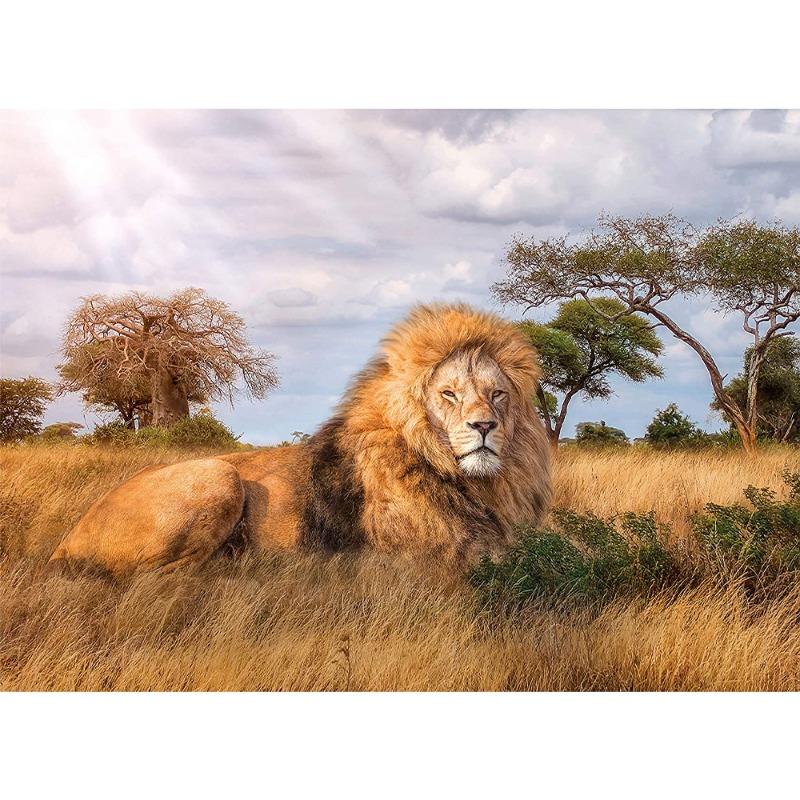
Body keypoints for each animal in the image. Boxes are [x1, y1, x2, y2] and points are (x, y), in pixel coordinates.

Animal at [49, 303, 552, 575]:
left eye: (497, 394)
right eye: (448, 394)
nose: (484, 426)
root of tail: (67, 539)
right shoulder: (427, 564)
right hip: (218, 473)